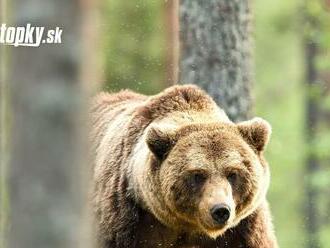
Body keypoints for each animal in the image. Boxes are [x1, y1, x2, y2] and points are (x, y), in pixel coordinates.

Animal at [90, 84, 278, 247]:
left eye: (232, 173)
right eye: (198, 174)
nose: (221, 210)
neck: (189, 227)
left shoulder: (244, 227)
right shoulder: (128, 219)